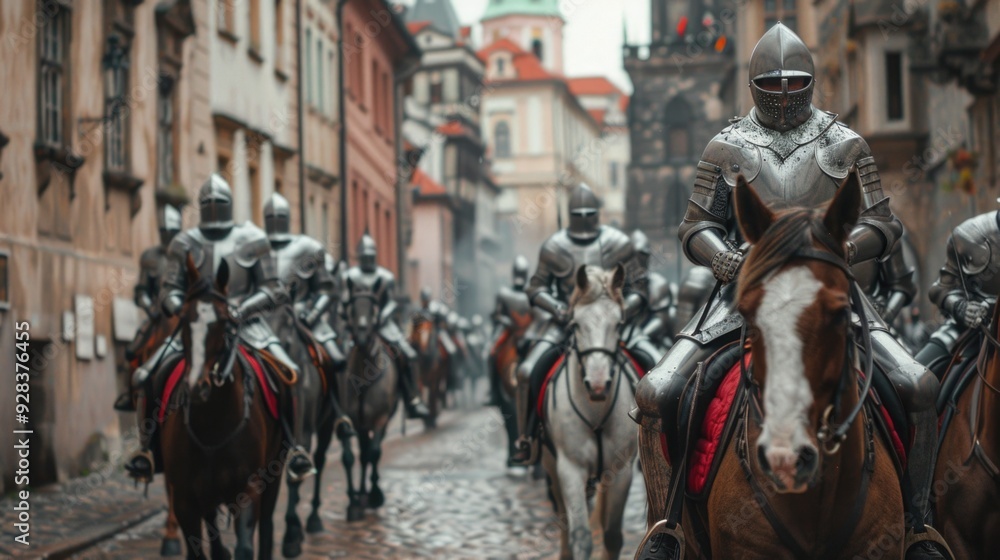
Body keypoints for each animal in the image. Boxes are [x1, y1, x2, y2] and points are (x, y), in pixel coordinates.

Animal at [161, 256, 284, 556]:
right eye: (183, 318)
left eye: (226, 320)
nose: (197, 386)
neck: (213, 425)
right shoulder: (185, 500)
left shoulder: (248, 491)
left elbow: (245, 548)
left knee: (267, 526)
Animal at [544, 264, 636, 556]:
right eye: (575, 324)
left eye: (618, 324)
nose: (597, 385)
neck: (595, 411)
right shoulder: (570, 469)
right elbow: (581, 536)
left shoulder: (621, 472)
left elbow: (612, 536)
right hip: (551, 466)